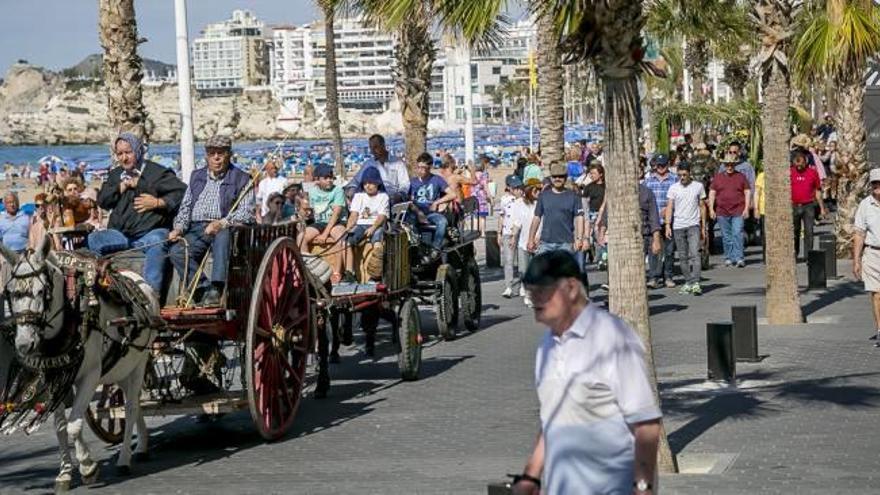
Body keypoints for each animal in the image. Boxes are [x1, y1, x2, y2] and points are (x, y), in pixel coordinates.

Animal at [1, 240, 159, 492]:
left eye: (41, 292)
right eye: (12, 294)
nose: (24, 344)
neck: (71, 315)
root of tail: (140, 280)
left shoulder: (91, 375)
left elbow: (74, 425)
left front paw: (87, 467)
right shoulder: (57, 378)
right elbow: (61, 427)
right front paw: (65, 473)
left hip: (139, 363)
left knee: (131, 408)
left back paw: (124, 459)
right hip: (121, 369)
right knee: (132, 403)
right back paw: (142, 445)